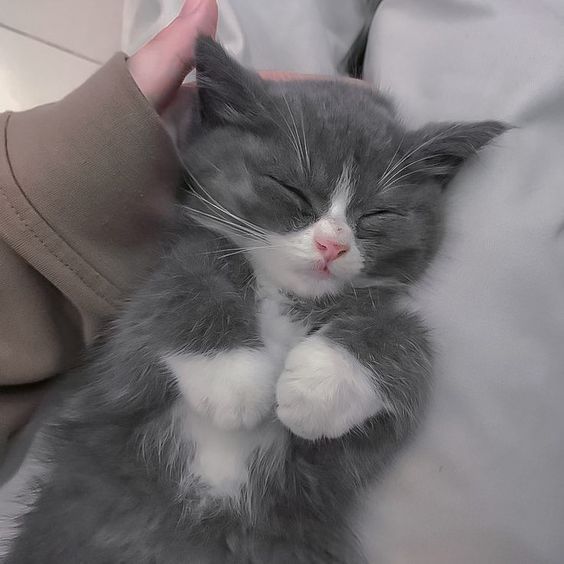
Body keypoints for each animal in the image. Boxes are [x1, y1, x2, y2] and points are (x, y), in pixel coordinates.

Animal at [4, 37, 506, 560]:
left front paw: (318, 386)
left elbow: (411, 339)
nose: (332, 245)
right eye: (292, 190)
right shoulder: (124, 355)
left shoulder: (347, 456)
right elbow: (178, 286)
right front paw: (235, 379)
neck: (284, 294)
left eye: (377, 215)